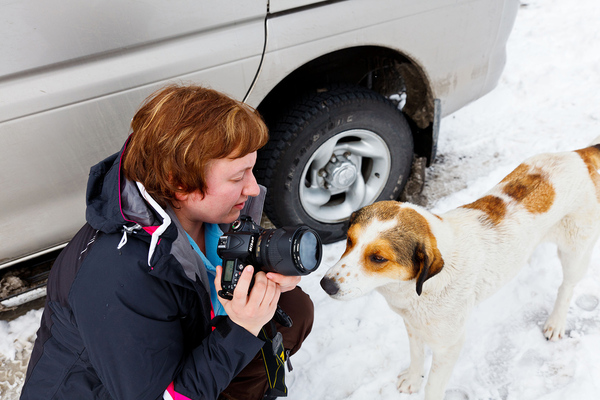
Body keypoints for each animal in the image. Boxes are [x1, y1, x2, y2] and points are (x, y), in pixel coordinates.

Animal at [318, 139, 600, 398]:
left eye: (378, 258)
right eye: (349, 241)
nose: (325, 285)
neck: (418, 289)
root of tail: (579, 154)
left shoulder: (449, 345)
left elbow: (433, 387)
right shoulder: (413, 326)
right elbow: (416, 356)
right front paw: (412, 379)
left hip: (575, 250)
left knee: (567, 286)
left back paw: (556, 322)